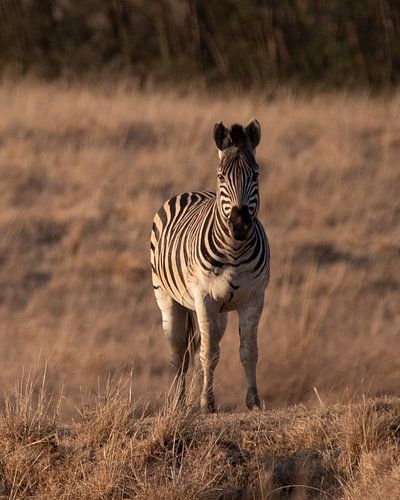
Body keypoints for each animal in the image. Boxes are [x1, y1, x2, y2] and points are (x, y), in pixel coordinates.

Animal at [152, 119, 270, 412]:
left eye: (256, 175)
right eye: (221, 177)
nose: (239, 225)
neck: (235, 250)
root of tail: (191, 192)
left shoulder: (254, 297)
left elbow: (248, 351)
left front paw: (253, 401)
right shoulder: (204, 297)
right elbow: (208, 353)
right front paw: (207, 402)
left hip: (220, 311)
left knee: (203, 344)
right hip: (167, 297)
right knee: (179, 351)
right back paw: (180, 402)